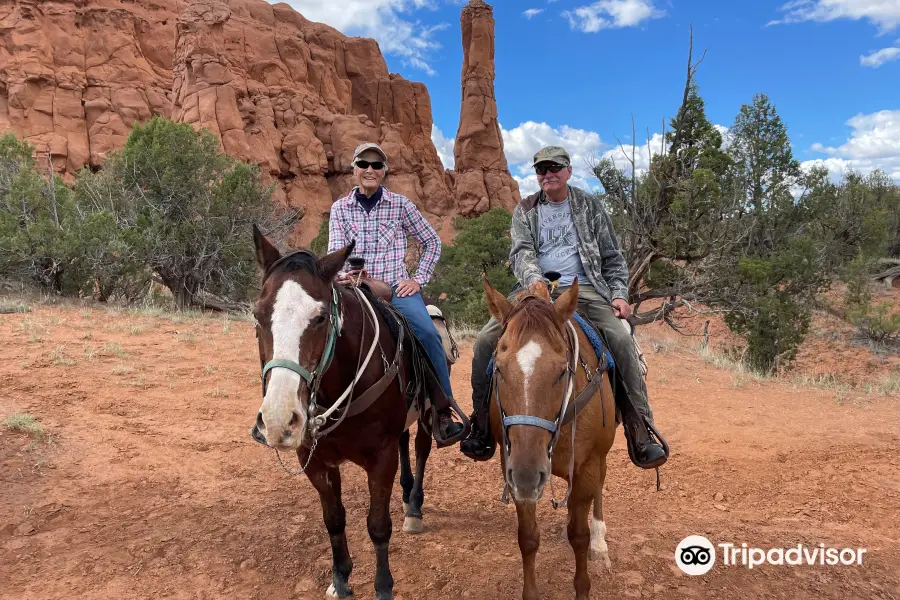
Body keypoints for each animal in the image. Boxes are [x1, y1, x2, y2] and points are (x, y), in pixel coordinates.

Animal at [248, 227, 442, 596]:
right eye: (257, 314)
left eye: (320, 317)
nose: (279, 421)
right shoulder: (314, 460)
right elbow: (334, 520)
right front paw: (340, 579)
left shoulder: (380, 458)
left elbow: (378, 526)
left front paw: (383, 587)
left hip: (427, 416)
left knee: (422, 450)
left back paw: (414, 507)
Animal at [486, 276, 620, 600]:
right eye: (498, 368)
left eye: (561, 372)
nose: (527, 474)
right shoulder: (513, 470)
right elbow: (528, 537)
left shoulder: (588, 467)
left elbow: (579, 536)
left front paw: (583, 583)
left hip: (599, 459)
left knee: (598, 492)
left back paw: (599, 542)